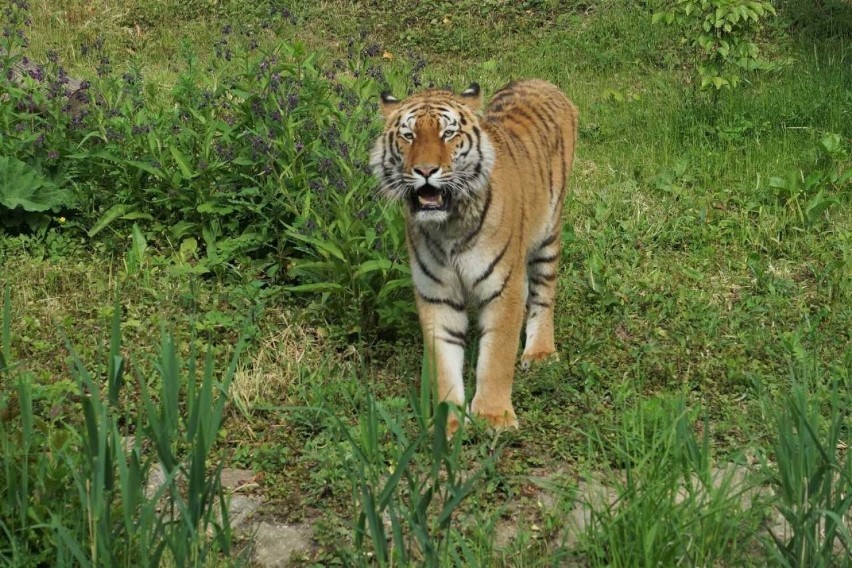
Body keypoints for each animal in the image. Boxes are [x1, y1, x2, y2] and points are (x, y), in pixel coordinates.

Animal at [372, 76, 580, 430]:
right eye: (408, 135)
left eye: (448, 133)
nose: (425, 170)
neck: (448, 226)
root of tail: (540, 81)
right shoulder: (437, 296)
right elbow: (443, 363)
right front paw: (448, 425)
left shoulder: (504, 289)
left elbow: (496, 356)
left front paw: (494, 417)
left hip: (548, 234)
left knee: (544, 293)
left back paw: (540, 352)